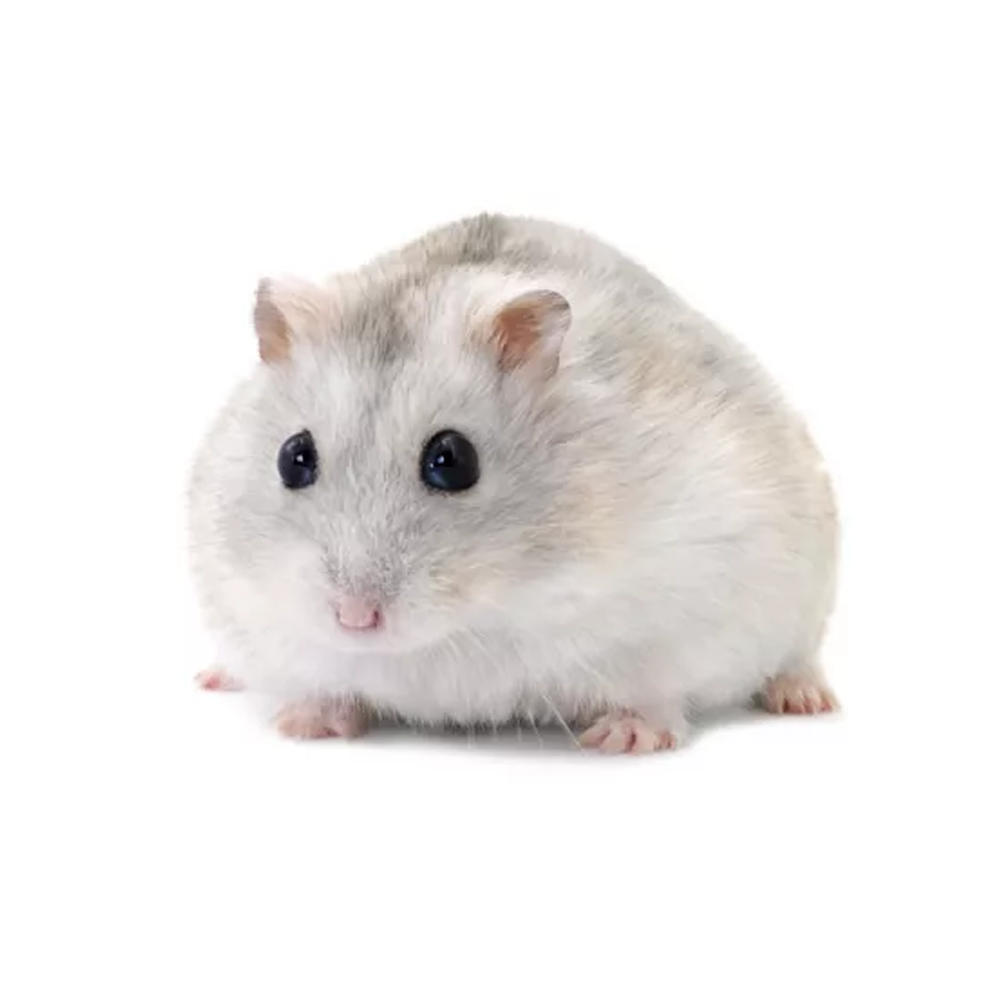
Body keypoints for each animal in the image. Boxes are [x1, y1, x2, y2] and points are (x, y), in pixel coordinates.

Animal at [189, 213, 839, 752]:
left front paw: (625, 739)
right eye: (293, 458)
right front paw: (304, 724)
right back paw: (214, 675)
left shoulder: (683, 613)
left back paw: (805, 700)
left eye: (452, 460)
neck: (485, 610)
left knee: (797, 658)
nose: (354, 618)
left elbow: (653, 694)